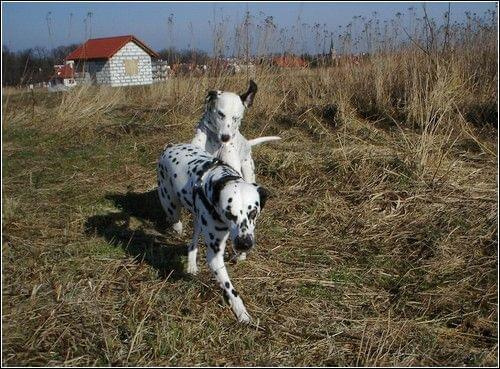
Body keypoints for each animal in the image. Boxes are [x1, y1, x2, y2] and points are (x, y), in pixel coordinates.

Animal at [159, 142, 270, 320]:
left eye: (253, 213)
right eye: (229, 214)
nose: (244, 244)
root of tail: (170, 145)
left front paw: (241, 255)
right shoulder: (215, 256)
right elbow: (229, 287)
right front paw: (240, 310)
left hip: (198, 216)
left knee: (193, 240)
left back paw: (191, 263)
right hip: (172, 208)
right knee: (177, 223)